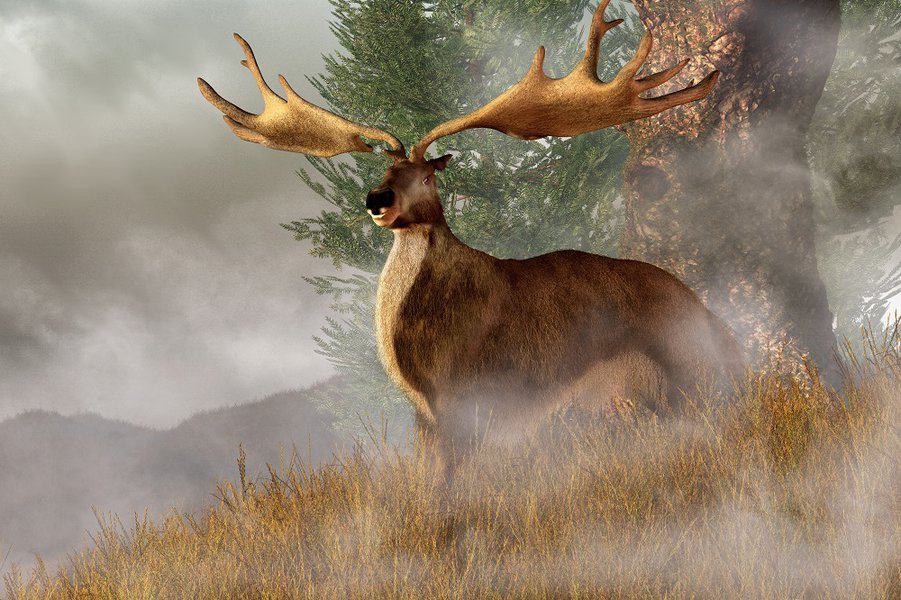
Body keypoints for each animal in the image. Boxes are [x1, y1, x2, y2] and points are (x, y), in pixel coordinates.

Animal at [198, 1, 744, 479]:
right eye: (383, 171)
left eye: (426, 176)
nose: (376, 199)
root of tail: (718, 325)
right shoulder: (425, 412)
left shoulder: (466, 393)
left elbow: (452, 480)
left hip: (658, 380)